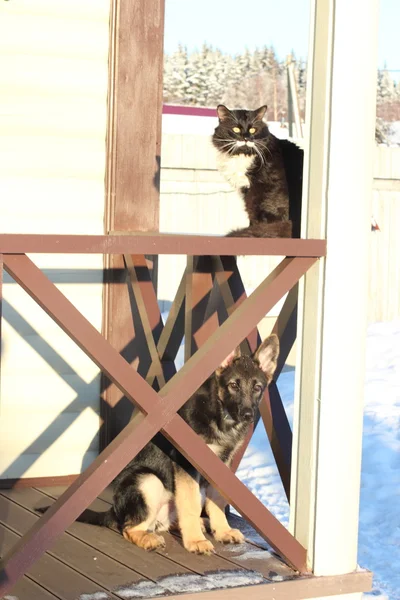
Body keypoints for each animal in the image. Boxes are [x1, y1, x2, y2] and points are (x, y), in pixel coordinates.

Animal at [77, 332, 278, 552]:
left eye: (257, 388)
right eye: (233, 385)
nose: (248, 415)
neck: (220, 415)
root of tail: (114, 510)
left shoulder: (221, 466)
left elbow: (216, 499)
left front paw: (222, 531)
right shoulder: (187, 464)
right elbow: (191, 504)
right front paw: (196, 541)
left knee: (170, 520)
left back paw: (201, 524)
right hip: (148, 481)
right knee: (130, 527)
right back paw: (151, 538)